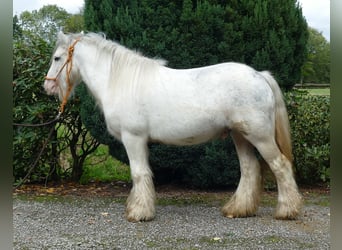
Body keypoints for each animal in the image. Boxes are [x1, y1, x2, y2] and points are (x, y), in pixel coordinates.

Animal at [43, 31, 302, 223]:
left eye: (56, 58)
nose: (47, 87)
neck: (120, 81)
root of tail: (259, 75)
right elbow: (142, 174)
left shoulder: (133, 138)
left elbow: (139, 173)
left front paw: (139, 213)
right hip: (241, 135)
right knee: (249, 169)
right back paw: (238, 210)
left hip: (260, 136)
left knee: (280, 165)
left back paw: (287, 211)